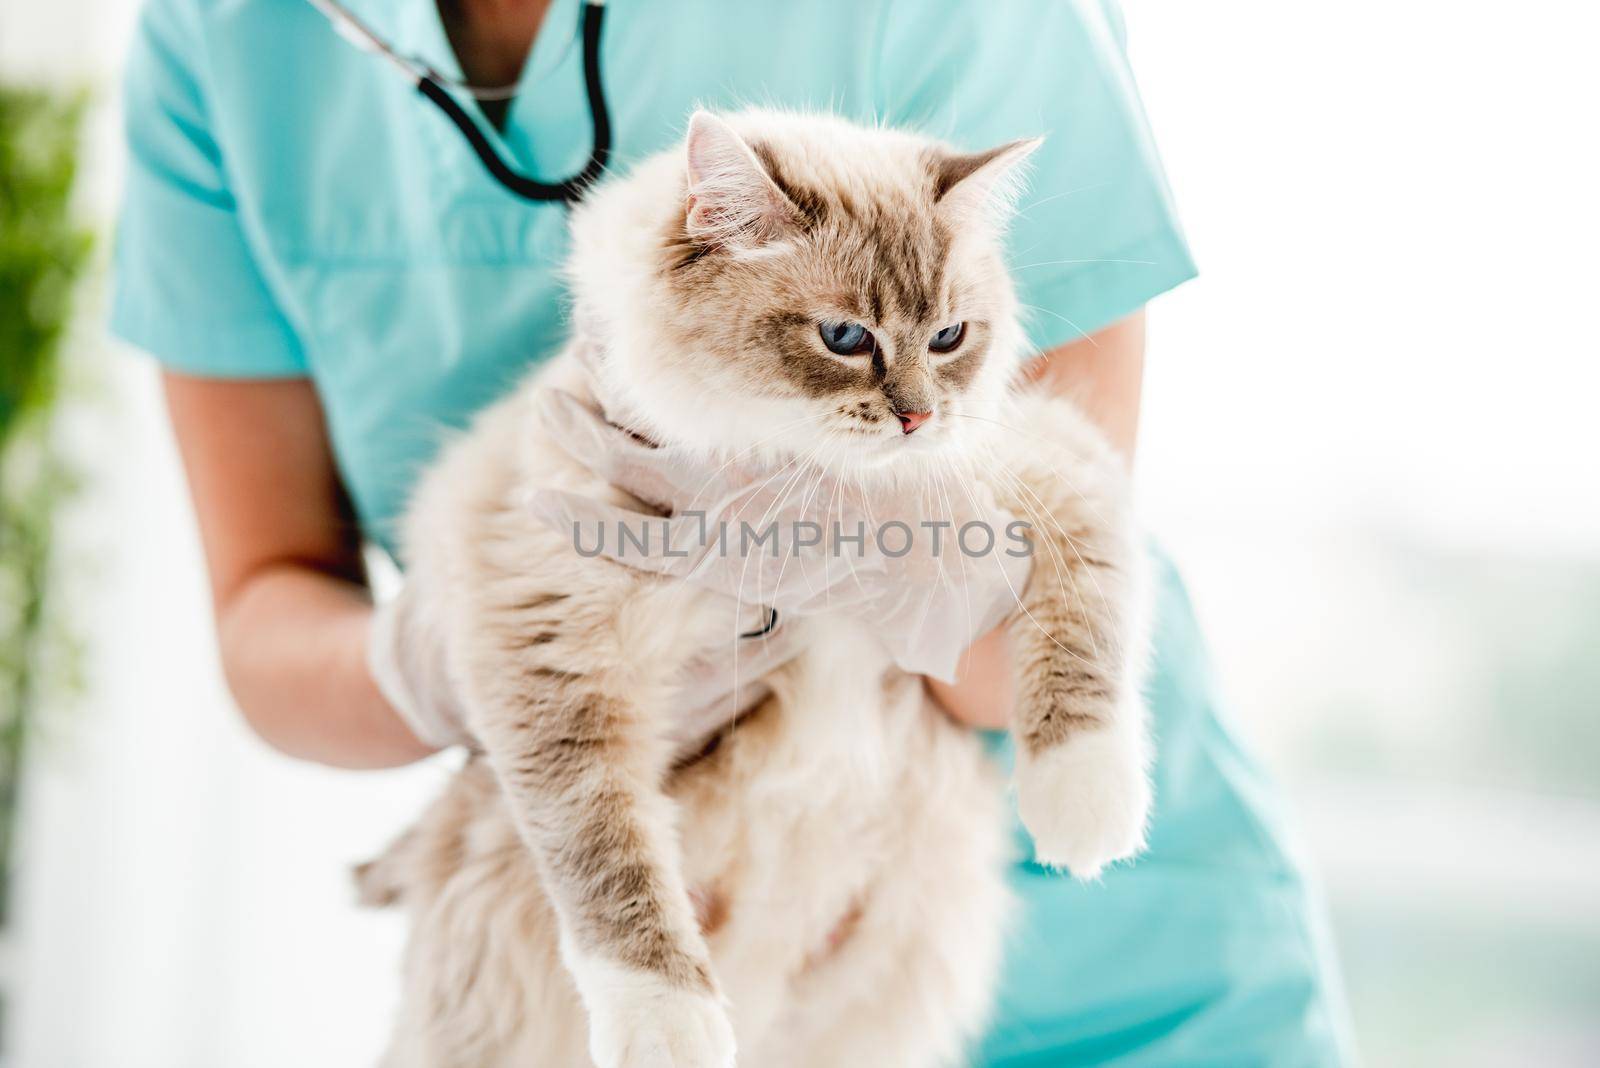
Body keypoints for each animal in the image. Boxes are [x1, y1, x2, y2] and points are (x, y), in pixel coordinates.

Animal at [360, 110, 1152, 1068]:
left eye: (949, 338)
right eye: (845, 339)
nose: (919, 417)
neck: (806, 489)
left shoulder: (1047, 474)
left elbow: (1088, 637)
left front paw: (1085, 813)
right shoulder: (549, 646)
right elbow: (607, 862)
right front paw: (669, 1031)